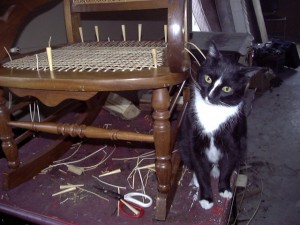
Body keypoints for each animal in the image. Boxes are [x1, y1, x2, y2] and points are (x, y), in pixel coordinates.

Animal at [178, 41, 264, 209]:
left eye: (227, 88)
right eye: (207, 79)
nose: (210, 96)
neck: (213, 112)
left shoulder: (233, 143)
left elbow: (228, 167)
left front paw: (224, 188)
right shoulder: (194, 142)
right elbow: (200, 169)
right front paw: (206, 197)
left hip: (243, 145)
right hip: (183, 144)